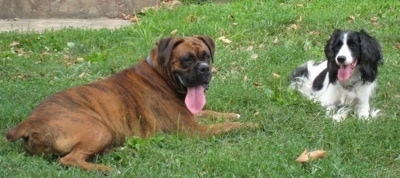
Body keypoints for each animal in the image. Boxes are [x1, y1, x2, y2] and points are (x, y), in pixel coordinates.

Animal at [5, 35, 250, 171]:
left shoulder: (191, 113)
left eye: (206, 56)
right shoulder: (193, 131)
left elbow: (214, 113)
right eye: (187, 59)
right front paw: (250, 125)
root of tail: (29, 123)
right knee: (69, 159)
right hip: (98, 129)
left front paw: (234, 114)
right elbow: (227, 127)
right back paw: (104, 169)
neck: (159, 74)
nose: (205, 69)